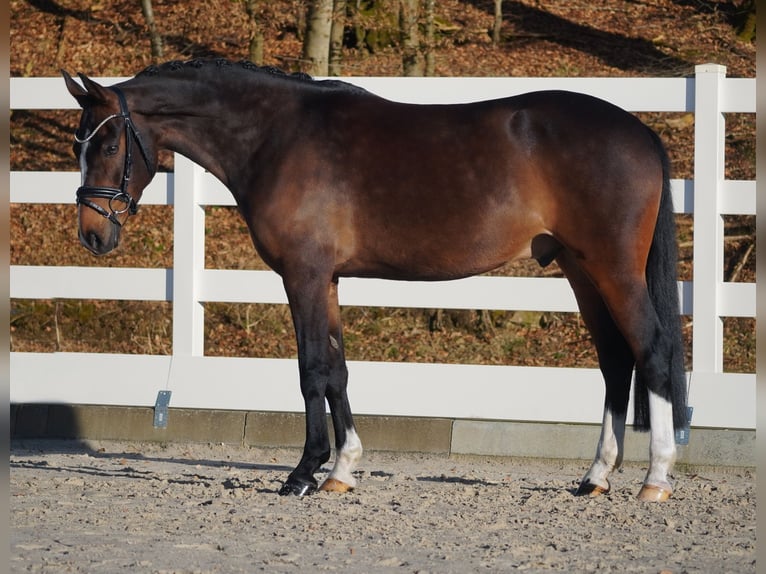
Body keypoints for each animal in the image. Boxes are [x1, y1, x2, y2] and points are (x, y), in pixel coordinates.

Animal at [63, 58, 688, 504]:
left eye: (110, 143)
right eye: (78, 145)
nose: (92, 234)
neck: (277, 136)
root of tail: (639, 131)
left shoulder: (304, 275)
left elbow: (312, 370)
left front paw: (303, 473)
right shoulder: (329, 280)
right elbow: (338, 371)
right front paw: (342, 469)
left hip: (611, 269)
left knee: (652, 351)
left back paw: (654, 480)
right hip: (581, 269)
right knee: (616, 361)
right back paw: (595, 477)